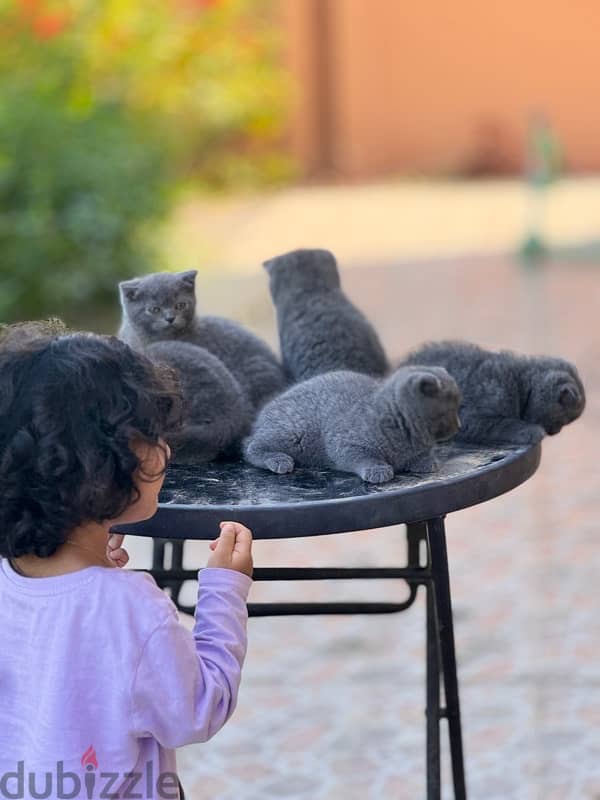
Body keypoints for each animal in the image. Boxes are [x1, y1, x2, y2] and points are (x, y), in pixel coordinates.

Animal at [244, 362, 460, 482]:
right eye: (451, 409)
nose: (458, 425)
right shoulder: (345, 443)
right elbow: (362, 456)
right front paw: (377, 469)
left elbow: (422, 454)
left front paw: (426, 461)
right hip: (293, 433)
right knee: (250, 447)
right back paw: (278, 460)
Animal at [398, 340, 584, 446]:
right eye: (562, 422)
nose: (556, 432)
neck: (519, 383)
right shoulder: (472, 418)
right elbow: (503, 424)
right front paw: (530, 430)